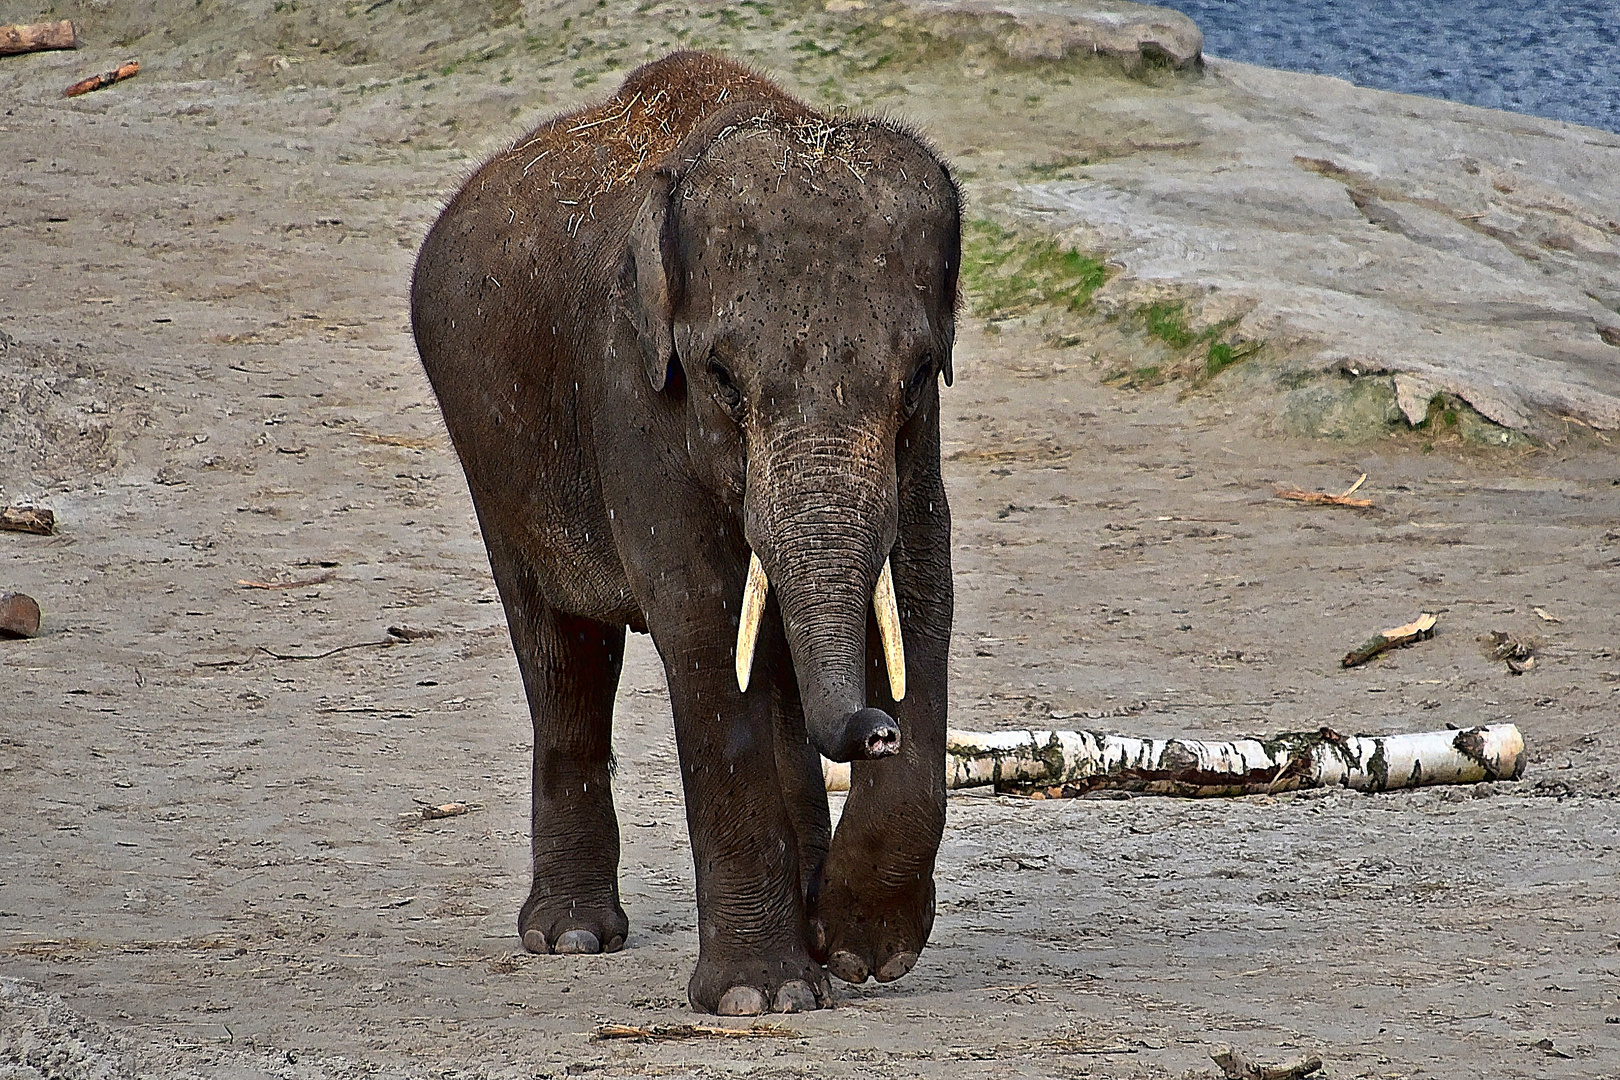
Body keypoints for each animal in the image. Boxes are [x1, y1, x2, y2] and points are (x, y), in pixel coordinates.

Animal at [408, 50, 959, 1016]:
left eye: (920, 375)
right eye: (722, 381)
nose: (874, 732)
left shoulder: (918, 448)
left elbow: (923, 594)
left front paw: (859, 951)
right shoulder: (629, 389)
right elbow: (699, 621)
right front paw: (759, 998)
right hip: (493, 454)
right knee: (564, 656)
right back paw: (570, 936)